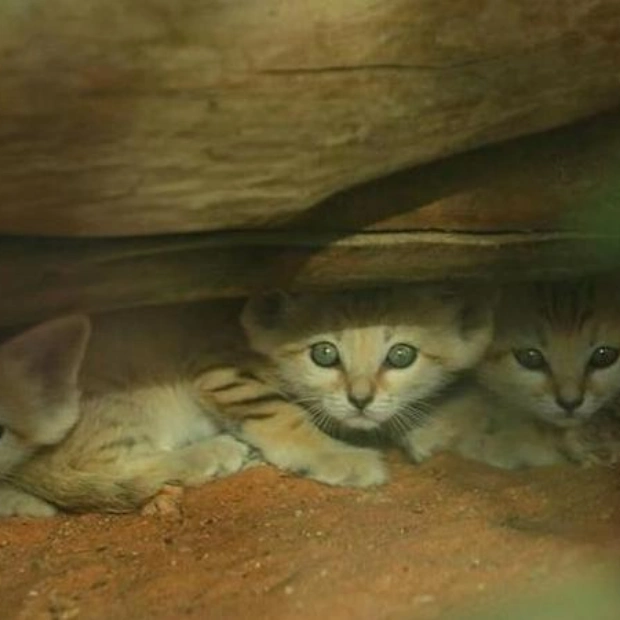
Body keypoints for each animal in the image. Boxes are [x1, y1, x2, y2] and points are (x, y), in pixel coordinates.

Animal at [199, 284, 494, 482]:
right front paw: (340, 458)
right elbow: (279, 414)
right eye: (324, 353)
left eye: (401, 355)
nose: (360, 399)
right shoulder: (216, 364)